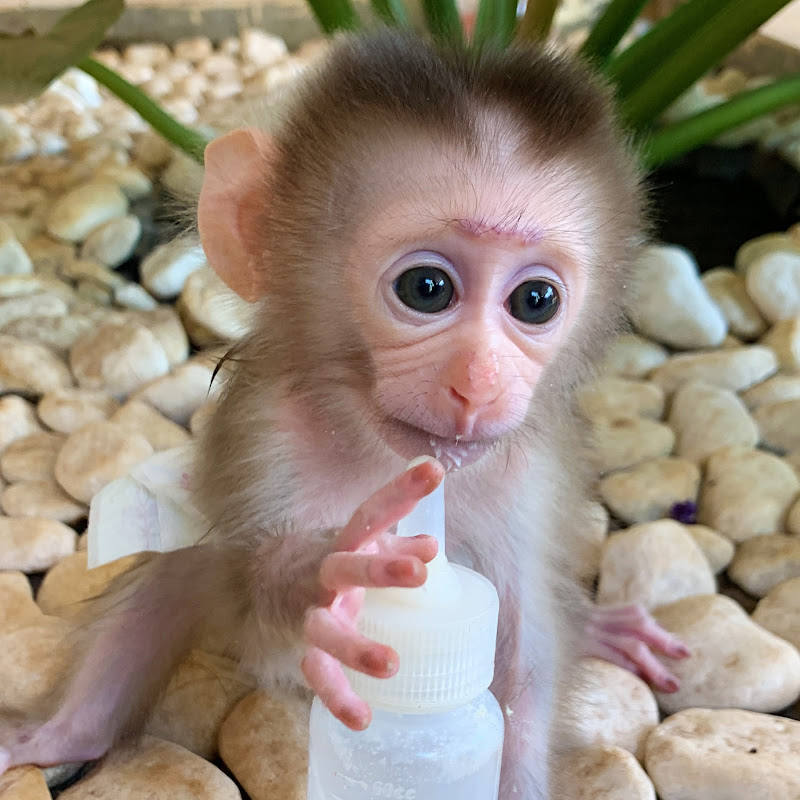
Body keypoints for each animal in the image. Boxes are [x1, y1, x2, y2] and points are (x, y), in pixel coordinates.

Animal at [0, 31, 689, 798]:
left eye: (535, 301)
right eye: (427, 288)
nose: (479, 383)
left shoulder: (528, 475)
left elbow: (522, 671)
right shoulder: (267, 429)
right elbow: (255, 606)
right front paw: (330, 573)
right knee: (177, 575)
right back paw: (65, 731)